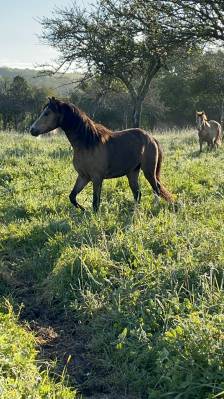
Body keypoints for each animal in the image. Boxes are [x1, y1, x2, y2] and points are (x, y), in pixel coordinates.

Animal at [29, 97, 173, 212]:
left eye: (47, 113)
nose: (32, 130)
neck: (88, 143)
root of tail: (151, 138)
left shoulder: (97, 178)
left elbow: (95, 203)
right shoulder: (83, 176)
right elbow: (72, 197)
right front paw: (84, 210)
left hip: (148, 171)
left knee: (156, 190)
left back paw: (154, 208)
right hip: (132, 172)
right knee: (138, 194)